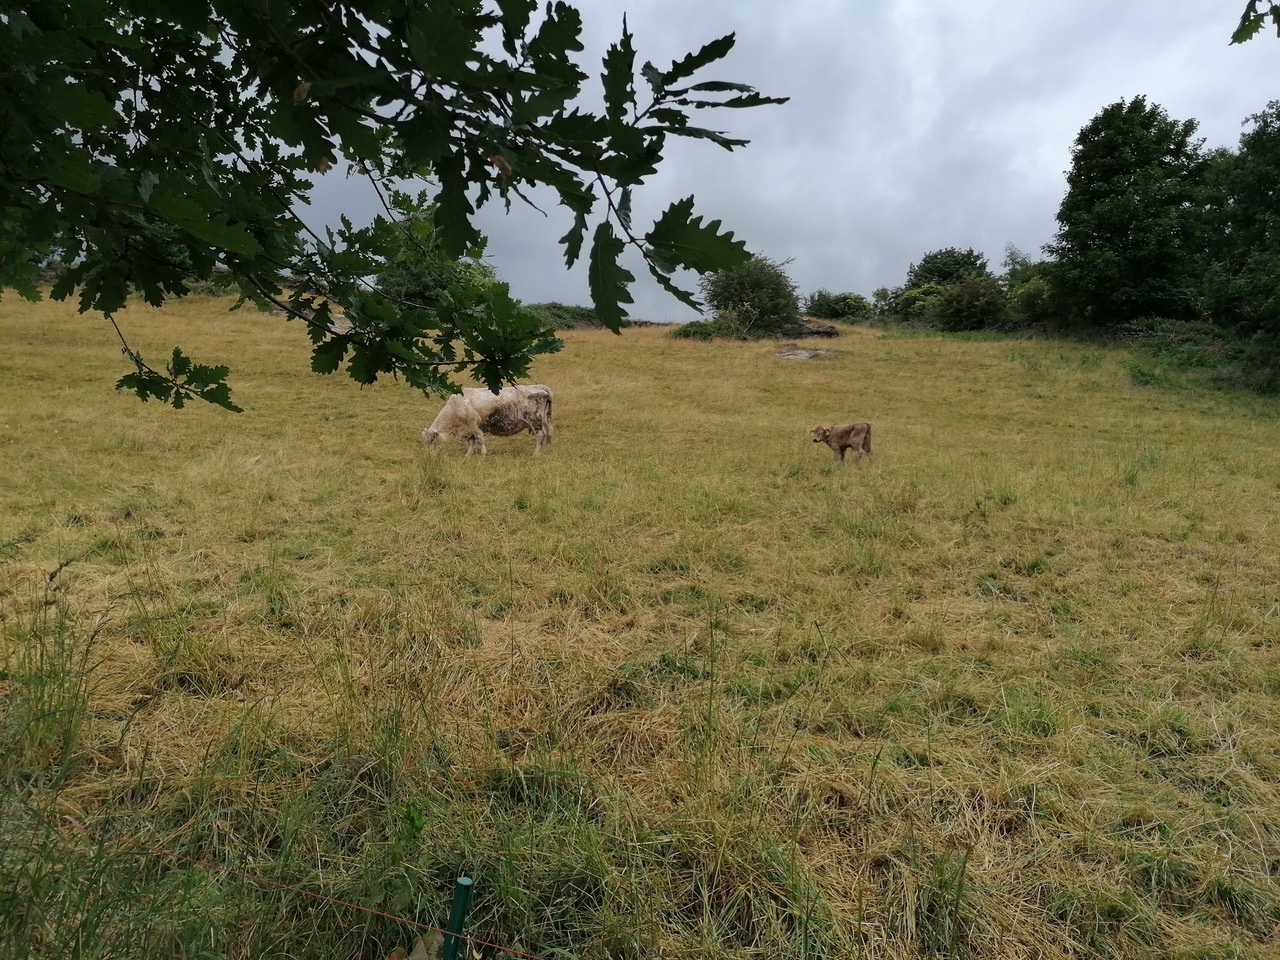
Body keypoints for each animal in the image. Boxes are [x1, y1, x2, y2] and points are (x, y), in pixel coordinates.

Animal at [422, 385, 553, 456]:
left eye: (431, 441)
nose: (428, 456)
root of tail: (540, 387)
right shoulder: (469, 429)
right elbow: (471, 442)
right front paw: (468, 455)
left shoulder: (474, 424)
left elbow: (479, 439)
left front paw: (483, 453)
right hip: (544, 421)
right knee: (546, 435)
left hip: (534, 421)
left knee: (540, 436)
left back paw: (535, 454)